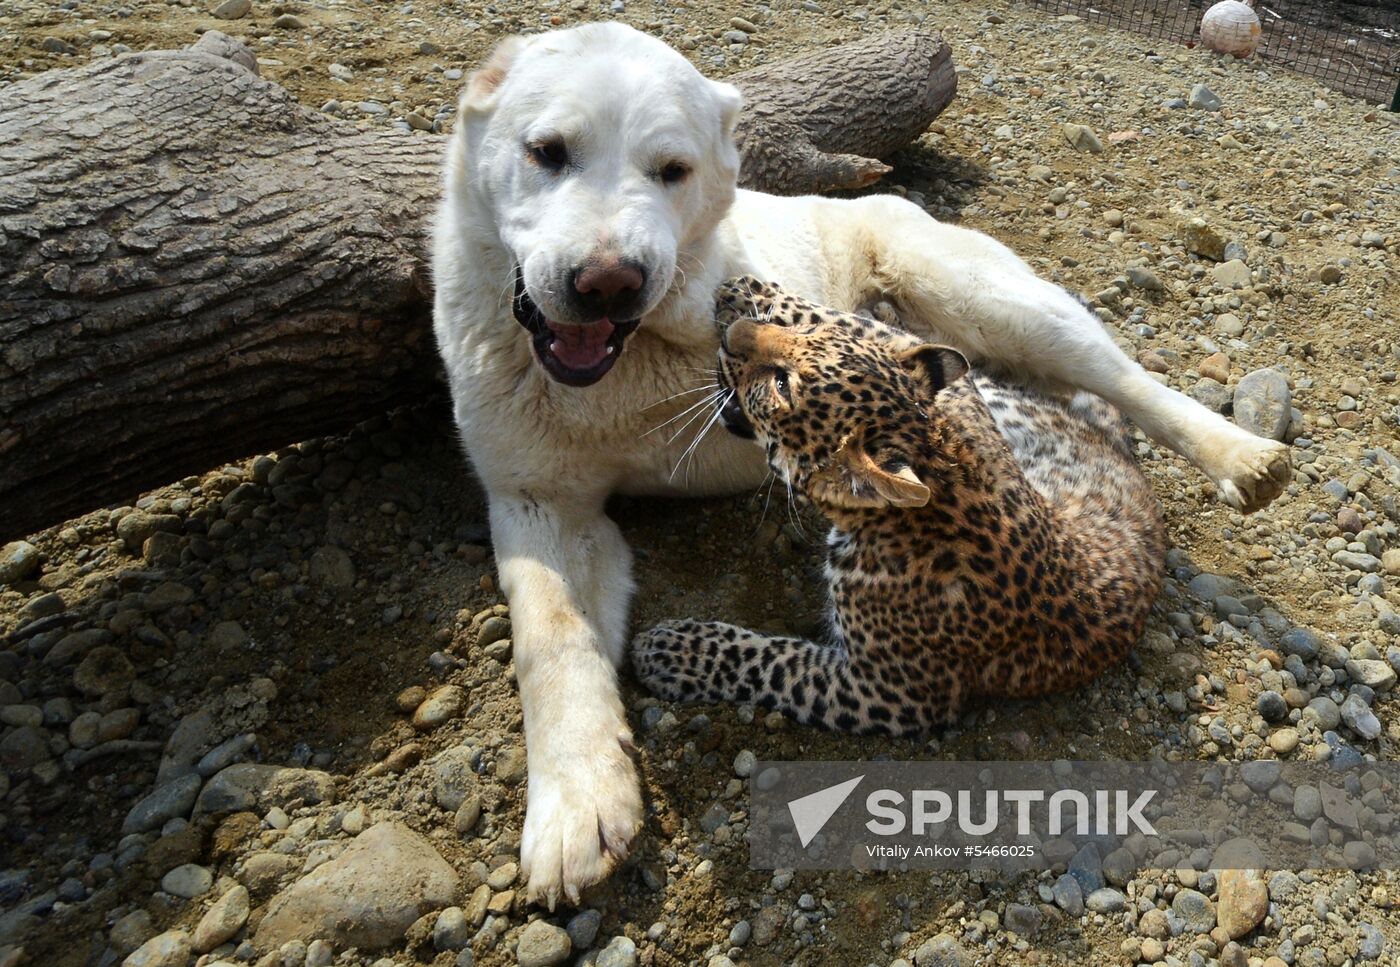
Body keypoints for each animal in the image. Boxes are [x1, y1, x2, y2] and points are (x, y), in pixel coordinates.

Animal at [631, 276, 1167, 736]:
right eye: (805, 339)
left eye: (782, 385)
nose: (733, 334)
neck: (937, 467)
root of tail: (1119, 449)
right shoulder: (962, 411)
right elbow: (863, 328)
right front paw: (752, 295)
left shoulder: (891, 692)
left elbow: (772, 661)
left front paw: (672, 650)